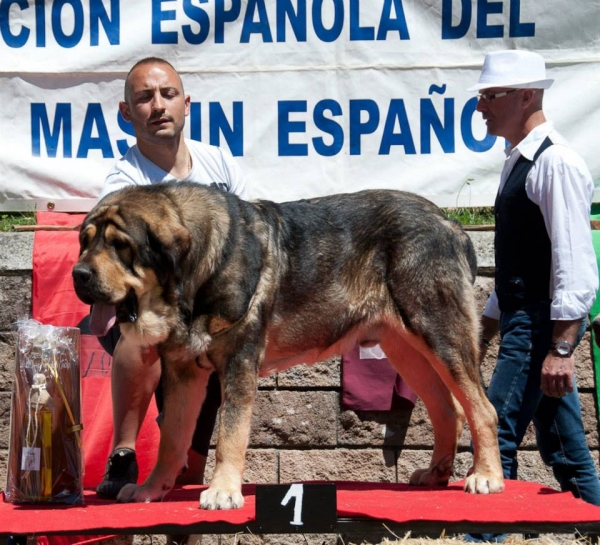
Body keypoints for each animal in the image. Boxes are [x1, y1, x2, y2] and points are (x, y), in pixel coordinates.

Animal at [71, 182, 506, 506]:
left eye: (120, 245)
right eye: (85, 242)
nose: (79, 274)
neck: (196, 270)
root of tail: (451, 223)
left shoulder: (238, 363)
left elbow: (230, 432)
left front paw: (222, 491)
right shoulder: (182, 371)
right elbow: (172, 438)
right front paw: (152, 490)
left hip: (440, 334)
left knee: (481, 408)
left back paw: (486, 477)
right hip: (406, 349)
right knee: (447, 408)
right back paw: (436, 474)